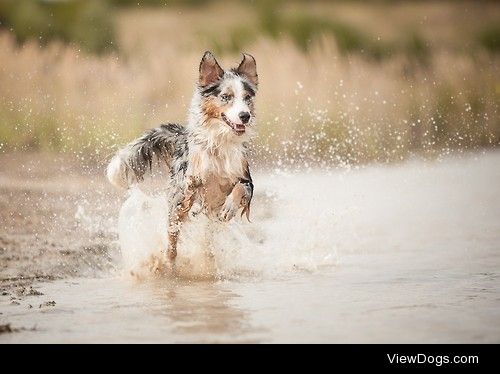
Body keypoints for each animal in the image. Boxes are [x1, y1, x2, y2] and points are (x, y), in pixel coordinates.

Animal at [108, 51, 260, 264]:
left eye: (247, 98)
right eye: (226, 97)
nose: (245, 116)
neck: (220, 143)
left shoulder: (246, 178)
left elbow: (241, 189)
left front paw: (229, 207)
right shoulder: (189, 183)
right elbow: (191, 192)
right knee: (172, 239)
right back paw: (168, 261)